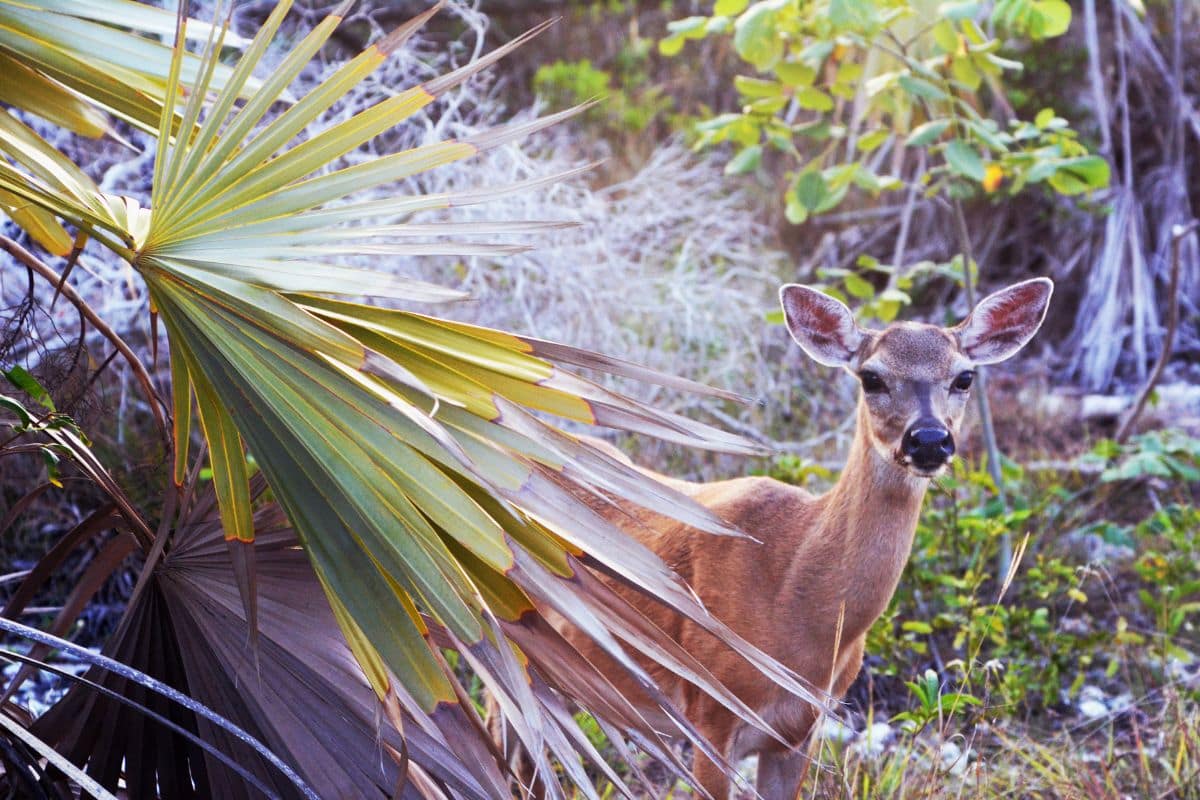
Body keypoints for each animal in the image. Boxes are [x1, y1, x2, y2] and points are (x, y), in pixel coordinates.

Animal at [531, 277, 1054, 800]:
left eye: (964, 378)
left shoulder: (800, 731)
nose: (928, 439)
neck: (793, 601)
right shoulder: (710, 712)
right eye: (872, 377)